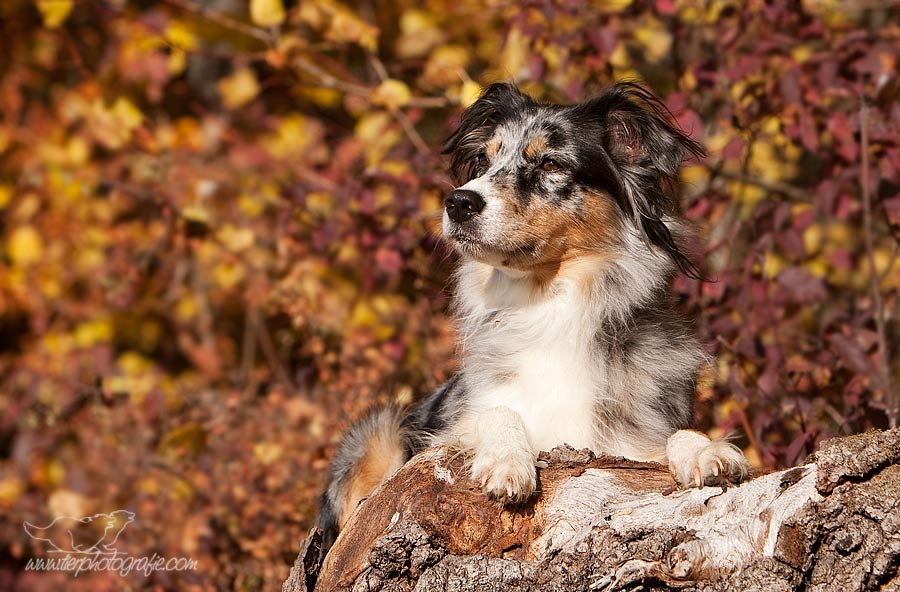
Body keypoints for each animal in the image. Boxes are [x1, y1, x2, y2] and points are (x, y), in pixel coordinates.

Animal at [312, 81, 748, 556]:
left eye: (550, 163)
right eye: (484, 160)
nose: (458, 202)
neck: (547, 302)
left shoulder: (631, 439)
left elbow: (676, 435)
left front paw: (706, 451)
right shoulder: (449, 428)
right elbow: (496, 412)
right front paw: (507, 460)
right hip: (375, 436)